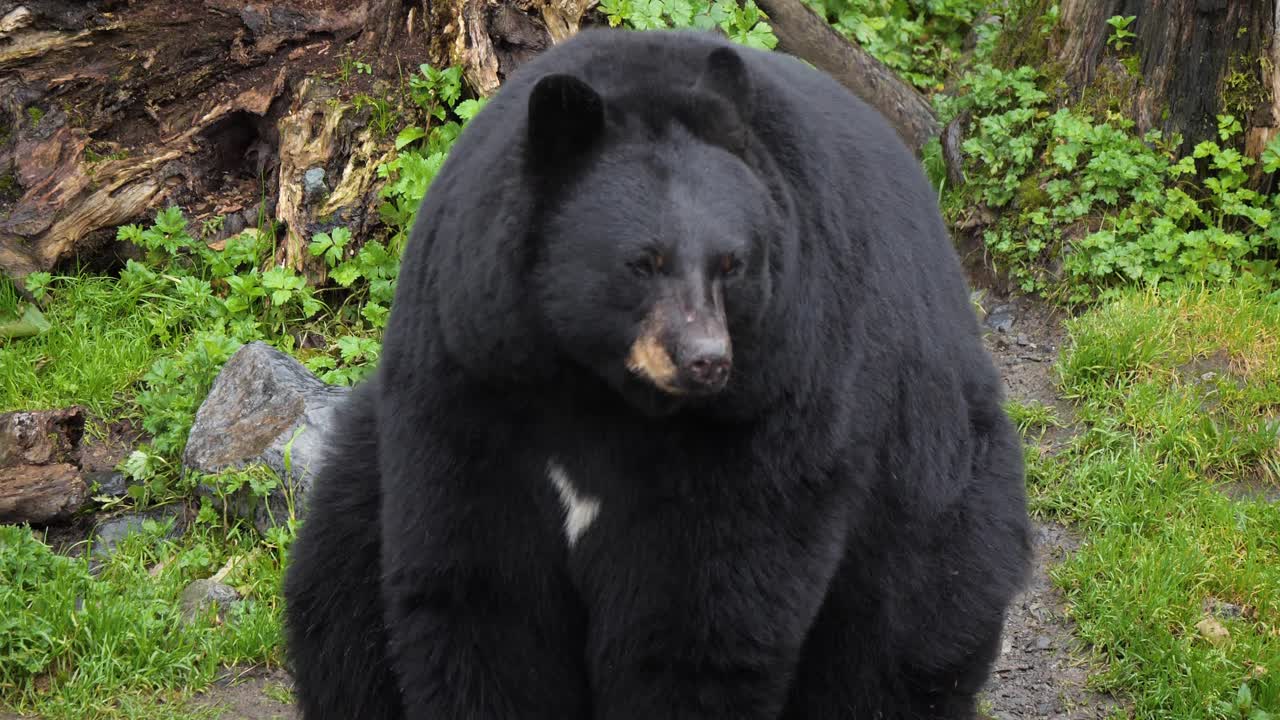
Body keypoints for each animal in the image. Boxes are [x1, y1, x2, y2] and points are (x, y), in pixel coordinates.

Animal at [283, 27, 1032, 720]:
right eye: (643, 262)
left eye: (732, 263)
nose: (706, 360)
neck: (600, 391)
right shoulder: (470, 369)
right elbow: (478, 592)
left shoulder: (775, 403)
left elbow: (698, 621)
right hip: (362, 466)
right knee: (336, 585)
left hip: (929, 484)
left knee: (903, 635)